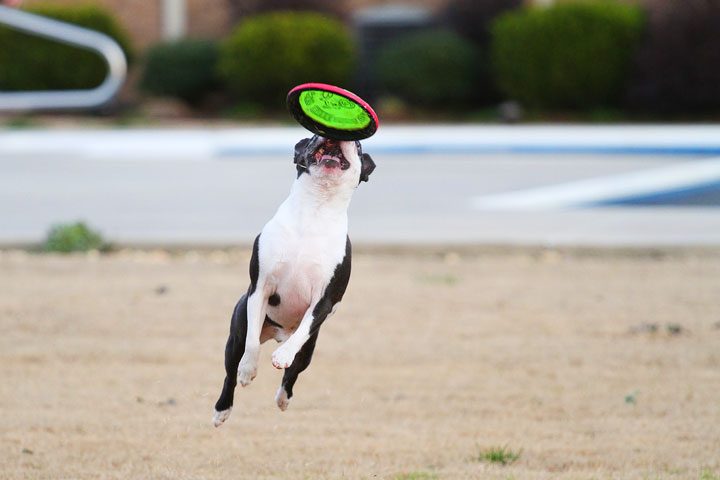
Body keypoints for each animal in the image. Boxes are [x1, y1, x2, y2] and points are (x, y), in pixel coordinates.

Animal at [211, 133, 374, 426]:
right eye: (313, 137)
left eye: (357, 145)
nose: (332, 134)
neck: (316, 209)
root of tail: (277, 334)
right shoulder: (260, 288)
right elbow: (251, 343)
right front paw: (248, 369)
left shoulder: (325, 300)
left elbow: (305, 329)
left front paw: (282, 356)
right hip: (235, 335)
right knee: (231, 370)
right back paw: (222, 409)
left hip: (308, 351)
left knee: (293, 372)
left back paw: (283, 397)